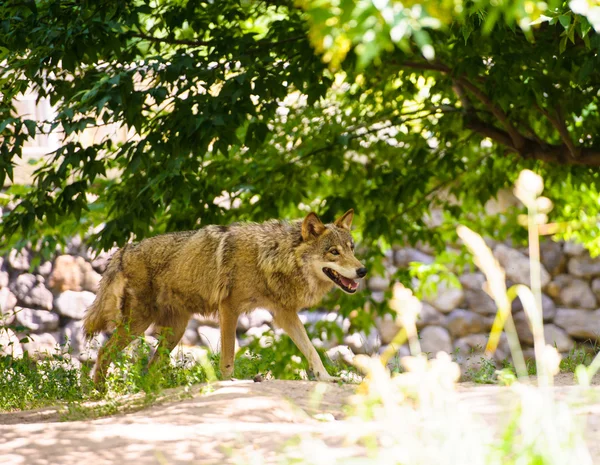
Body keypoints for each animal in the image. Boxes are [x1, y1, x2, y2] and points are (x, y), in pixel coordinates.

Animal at [82, 208, 366, 382]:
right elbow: (229, 355)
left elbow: (311, 350)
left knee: (150, 368)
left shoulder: (284, 314)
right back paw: (99, 393)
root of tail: (123, 251)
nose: (362, 270)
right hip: (138, 324)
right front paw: (228, 380)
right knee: (103, 352)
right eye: (334, 252)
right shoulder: (229, 309)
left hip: (175, 331)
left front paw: (326, 378)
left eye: (351, 249)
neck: (269, 257)